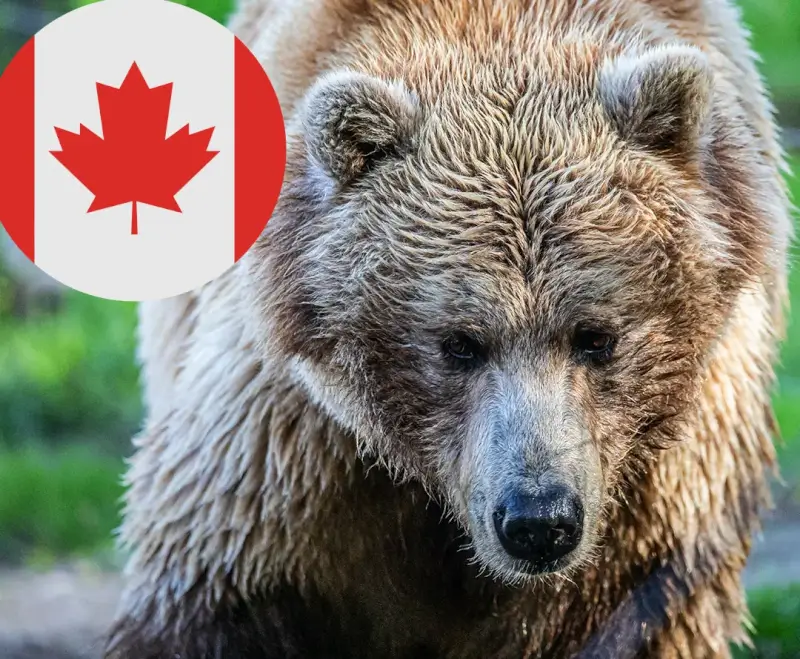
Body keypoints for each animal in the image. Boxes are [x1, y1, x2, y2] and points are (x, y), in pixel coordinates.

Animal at [103, 0, 792, 657]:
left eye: (596, 335)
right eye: (459, 343)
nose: (537, 520)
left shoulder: (667, 492)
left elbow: (639, 619)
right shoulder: (296, 444)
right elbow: (213, 590)